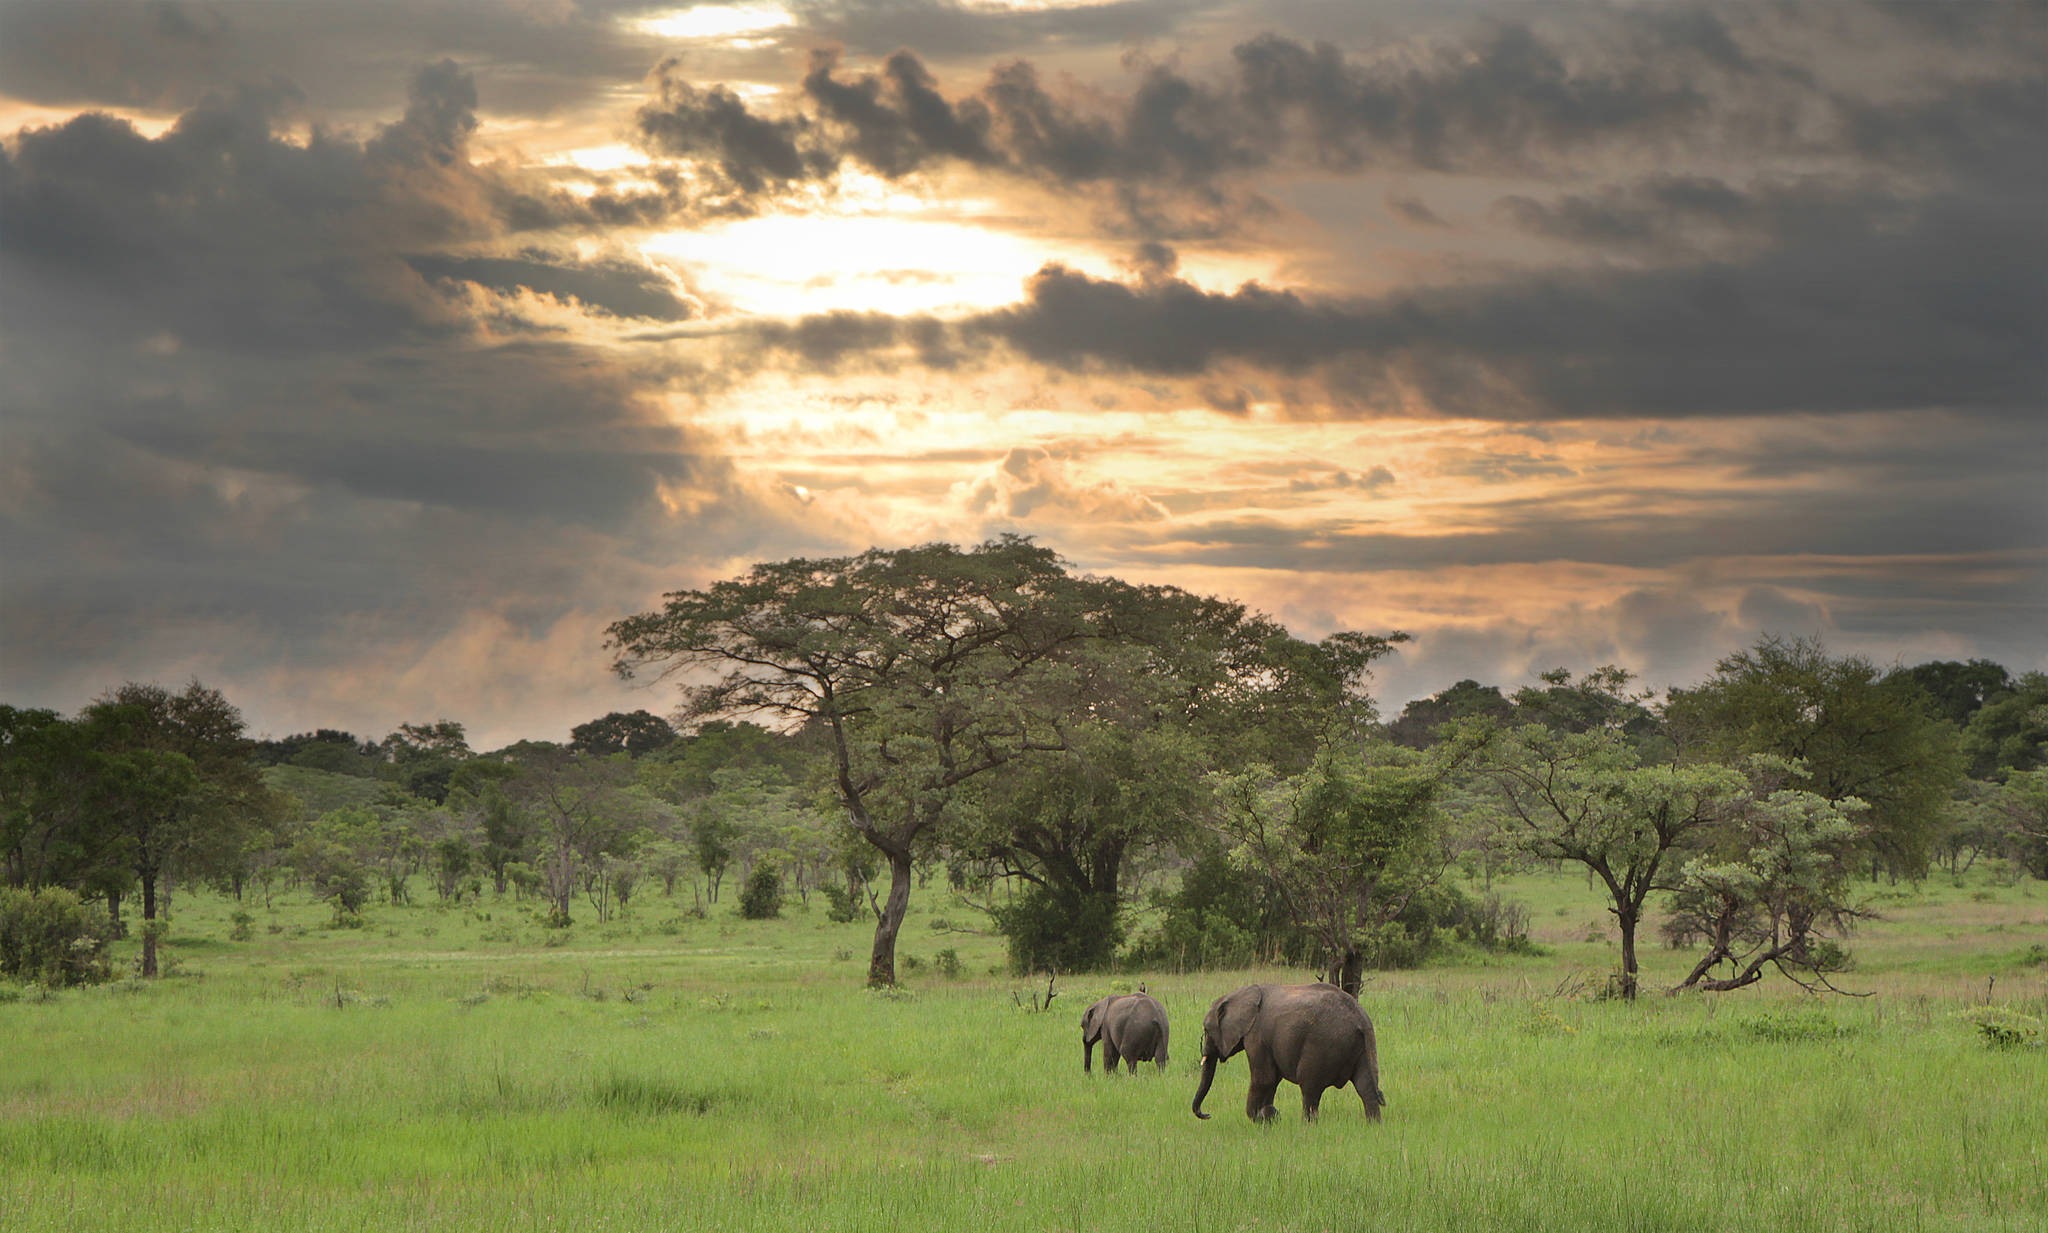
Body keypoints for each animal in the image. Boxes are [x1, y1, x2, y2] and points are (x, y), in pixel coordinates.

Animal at [1196, 983, 1384, 1122]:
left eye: (1206, 1030)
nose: (1207, 1114)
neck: (1239, 994)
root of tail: (1360, 1018)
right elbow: (1272, 1080)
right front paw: (1269, 1117)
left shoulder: (1257, 1037)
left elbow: (1264, 1079)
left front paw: (1263, 1118)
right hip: (1362, 1047)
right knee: (1366, 1087)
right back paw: (1373, 1126)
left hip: (1321, 1045)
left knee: (1310, 1089)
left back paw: (1307, 1126)